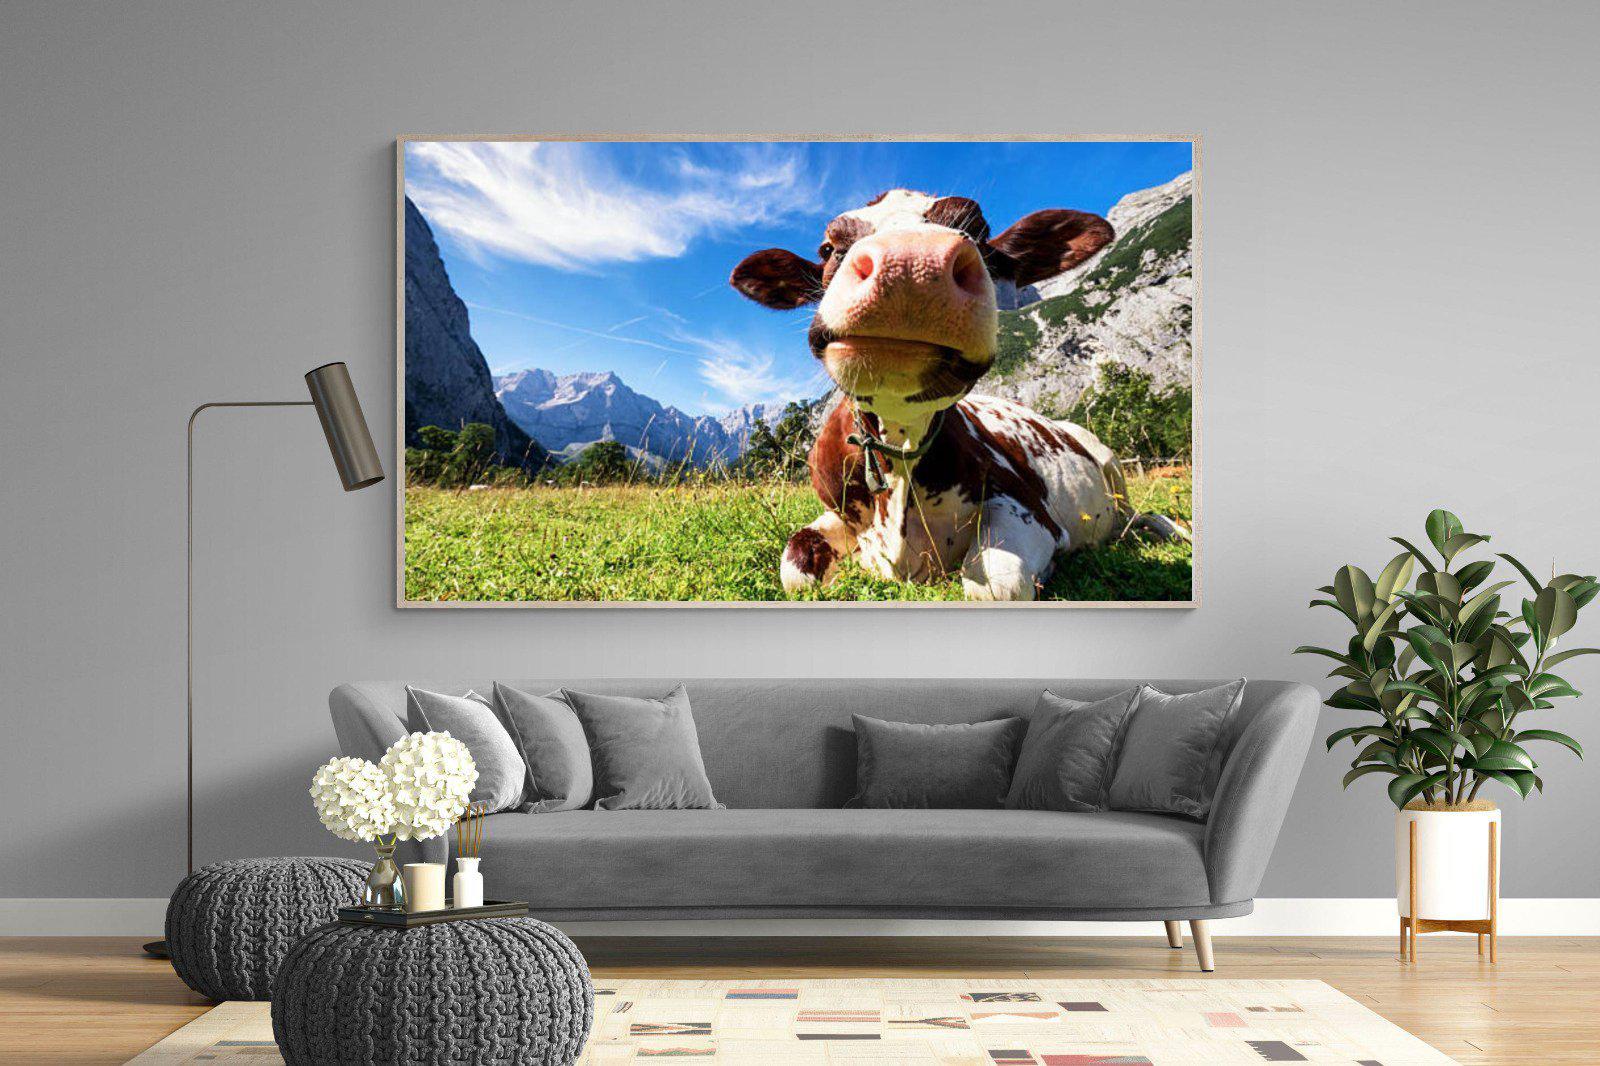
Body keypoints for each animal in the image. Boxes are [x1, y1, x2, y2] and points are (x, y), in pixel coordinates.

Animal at [730, 188, 1184, 601]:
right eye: (827, 248)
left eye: (979, 233)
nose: (911, 263)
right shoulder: (834, 511)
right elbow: (794, 567)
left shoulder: (1027, 506)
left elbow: (996, 585)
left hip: (1112, 468)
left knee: (1140, 515)